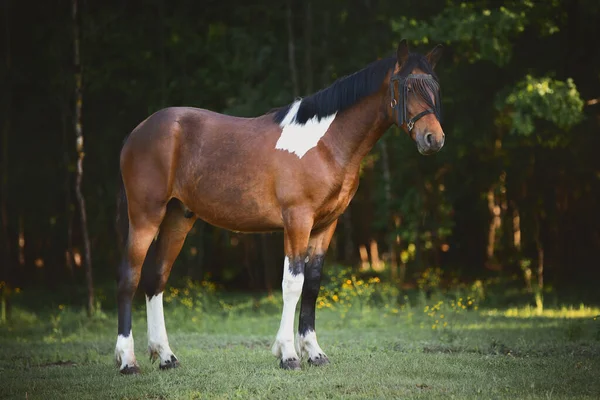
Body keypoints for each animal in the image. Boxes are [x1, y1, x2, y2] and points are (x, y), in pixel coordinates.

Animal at [113, 39, 446, 374]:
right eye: (406, 87)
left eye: (434, 87)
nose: (434, 139)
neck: (325, 145)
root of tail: (139, 131)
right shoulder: (297, 220)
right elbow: (293, 284)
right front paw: (288, 354)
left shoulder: (326, 225)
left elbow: (312, 284)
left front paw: (314, 353)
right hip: (145, 216)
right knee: (130, 277)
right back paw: (128, 361)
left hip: (177, 218)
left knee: (156, 280)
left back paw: (166, 356)